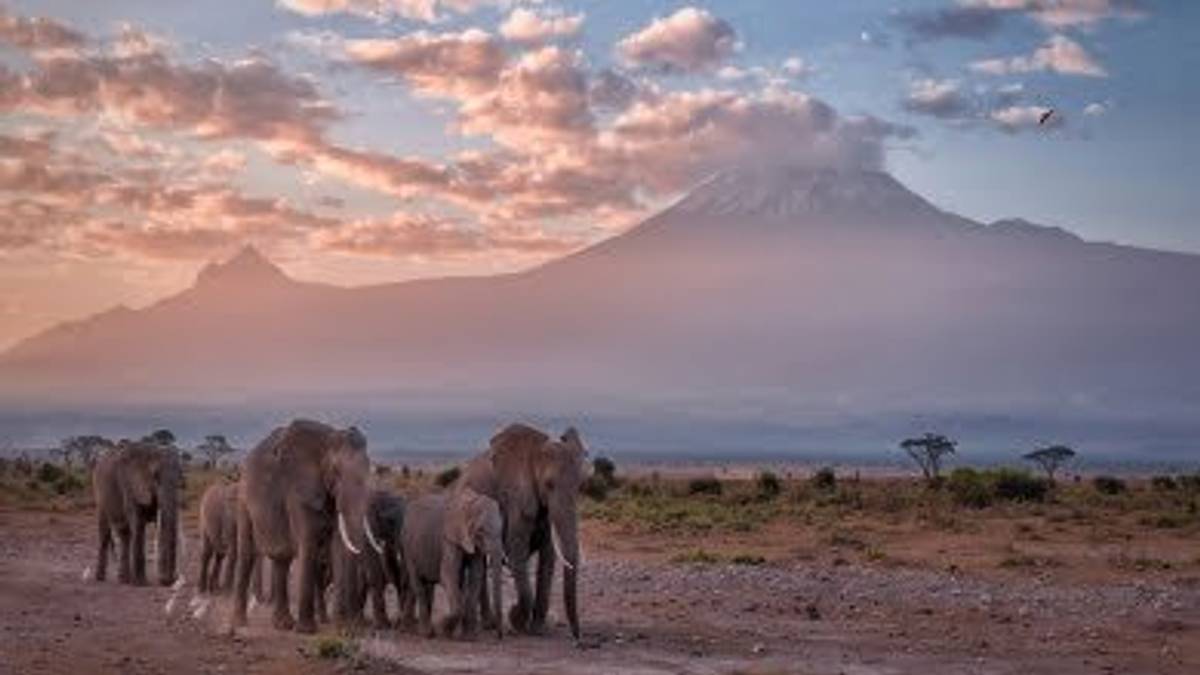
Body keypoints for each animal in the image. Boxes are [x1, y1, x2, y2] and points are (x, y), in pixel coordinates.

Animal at [92, 437, 181, 583]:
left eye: (181, 477)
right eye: (155, 476)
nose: (169, 580)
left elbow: (163, 523)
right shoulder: (129, 484)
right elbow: (139, 524)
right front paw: (141, 583)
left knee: (125, 535)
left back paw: (124, 579)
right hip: (100, 494)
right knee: (105, 532)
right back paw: (100, 578)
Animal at [231, 417, 381, 634]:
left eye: (369, 469)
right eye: (335, 471)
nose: (351, 626)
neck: (328, 440)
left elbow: (337, 545)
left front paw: (341, 628)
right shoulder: (298, 490)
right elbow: (308, 543)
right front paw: (307, 630)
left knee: (282, 559)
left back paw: (283, 625)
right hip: (243, 499)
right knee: (247, 553)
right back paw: (239, 623)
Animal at [405, 487, 504, 634]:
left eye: (502, 529)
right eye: (480, 531)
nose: (499, 635)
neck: (469, 503)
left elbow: (476, 575)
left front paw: (469, 635)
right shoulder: (449, 538)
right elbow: (448, 574)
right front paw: (441, 629)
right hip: (407, 547)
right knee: (418, 585)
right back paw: (426, 633)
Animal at [456, 422, 588, 638]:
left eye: (580, 486)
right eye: (549, 484)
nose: (578, 639)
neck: (535, 450)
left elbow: (548, 557)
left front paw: (537, 628)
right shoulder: (516, 499)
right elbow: (515, 548)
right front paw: (515, 619)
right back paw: (488, 624)